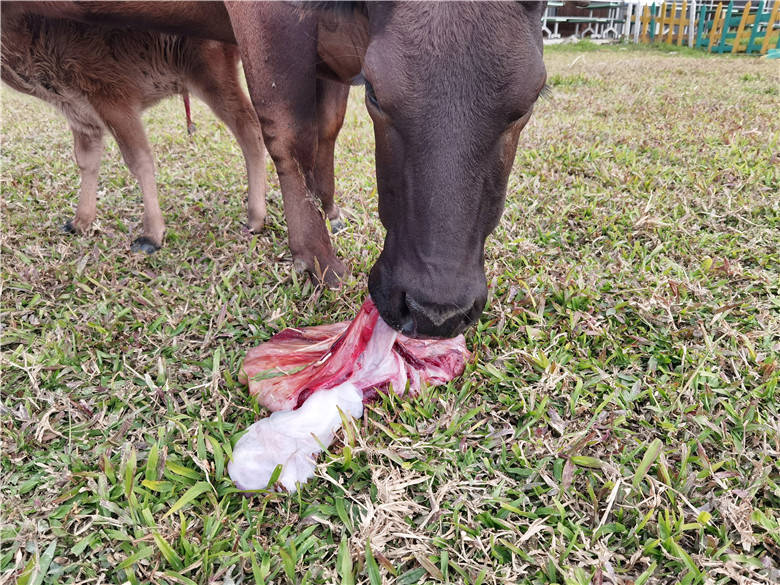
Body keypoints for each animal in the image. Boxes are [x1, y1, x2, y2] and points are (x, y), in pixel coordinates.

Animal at [4, 0, 548, 338]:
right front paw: (318, 260)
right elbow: (288, 133)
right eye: (374, 92)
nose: (436, 313)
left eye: (530, 102)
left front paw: (328, 215)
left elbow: (326, 129)